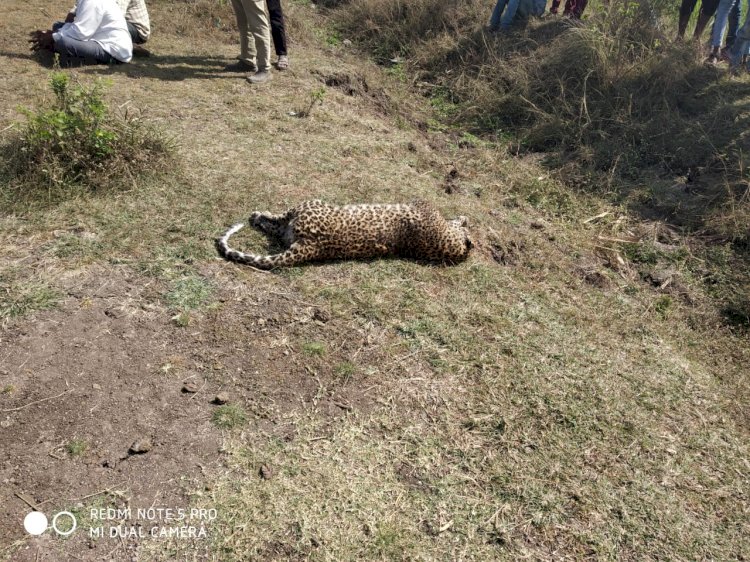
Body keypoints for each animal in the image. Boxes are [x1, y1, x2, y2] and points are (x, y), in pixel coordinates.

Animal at [217, 198, 472, 268]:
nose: (466, 219)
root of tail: (311, 246)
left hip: (307, 204)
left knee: (277, 219)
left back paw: (257, 215)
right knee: (275, 226)